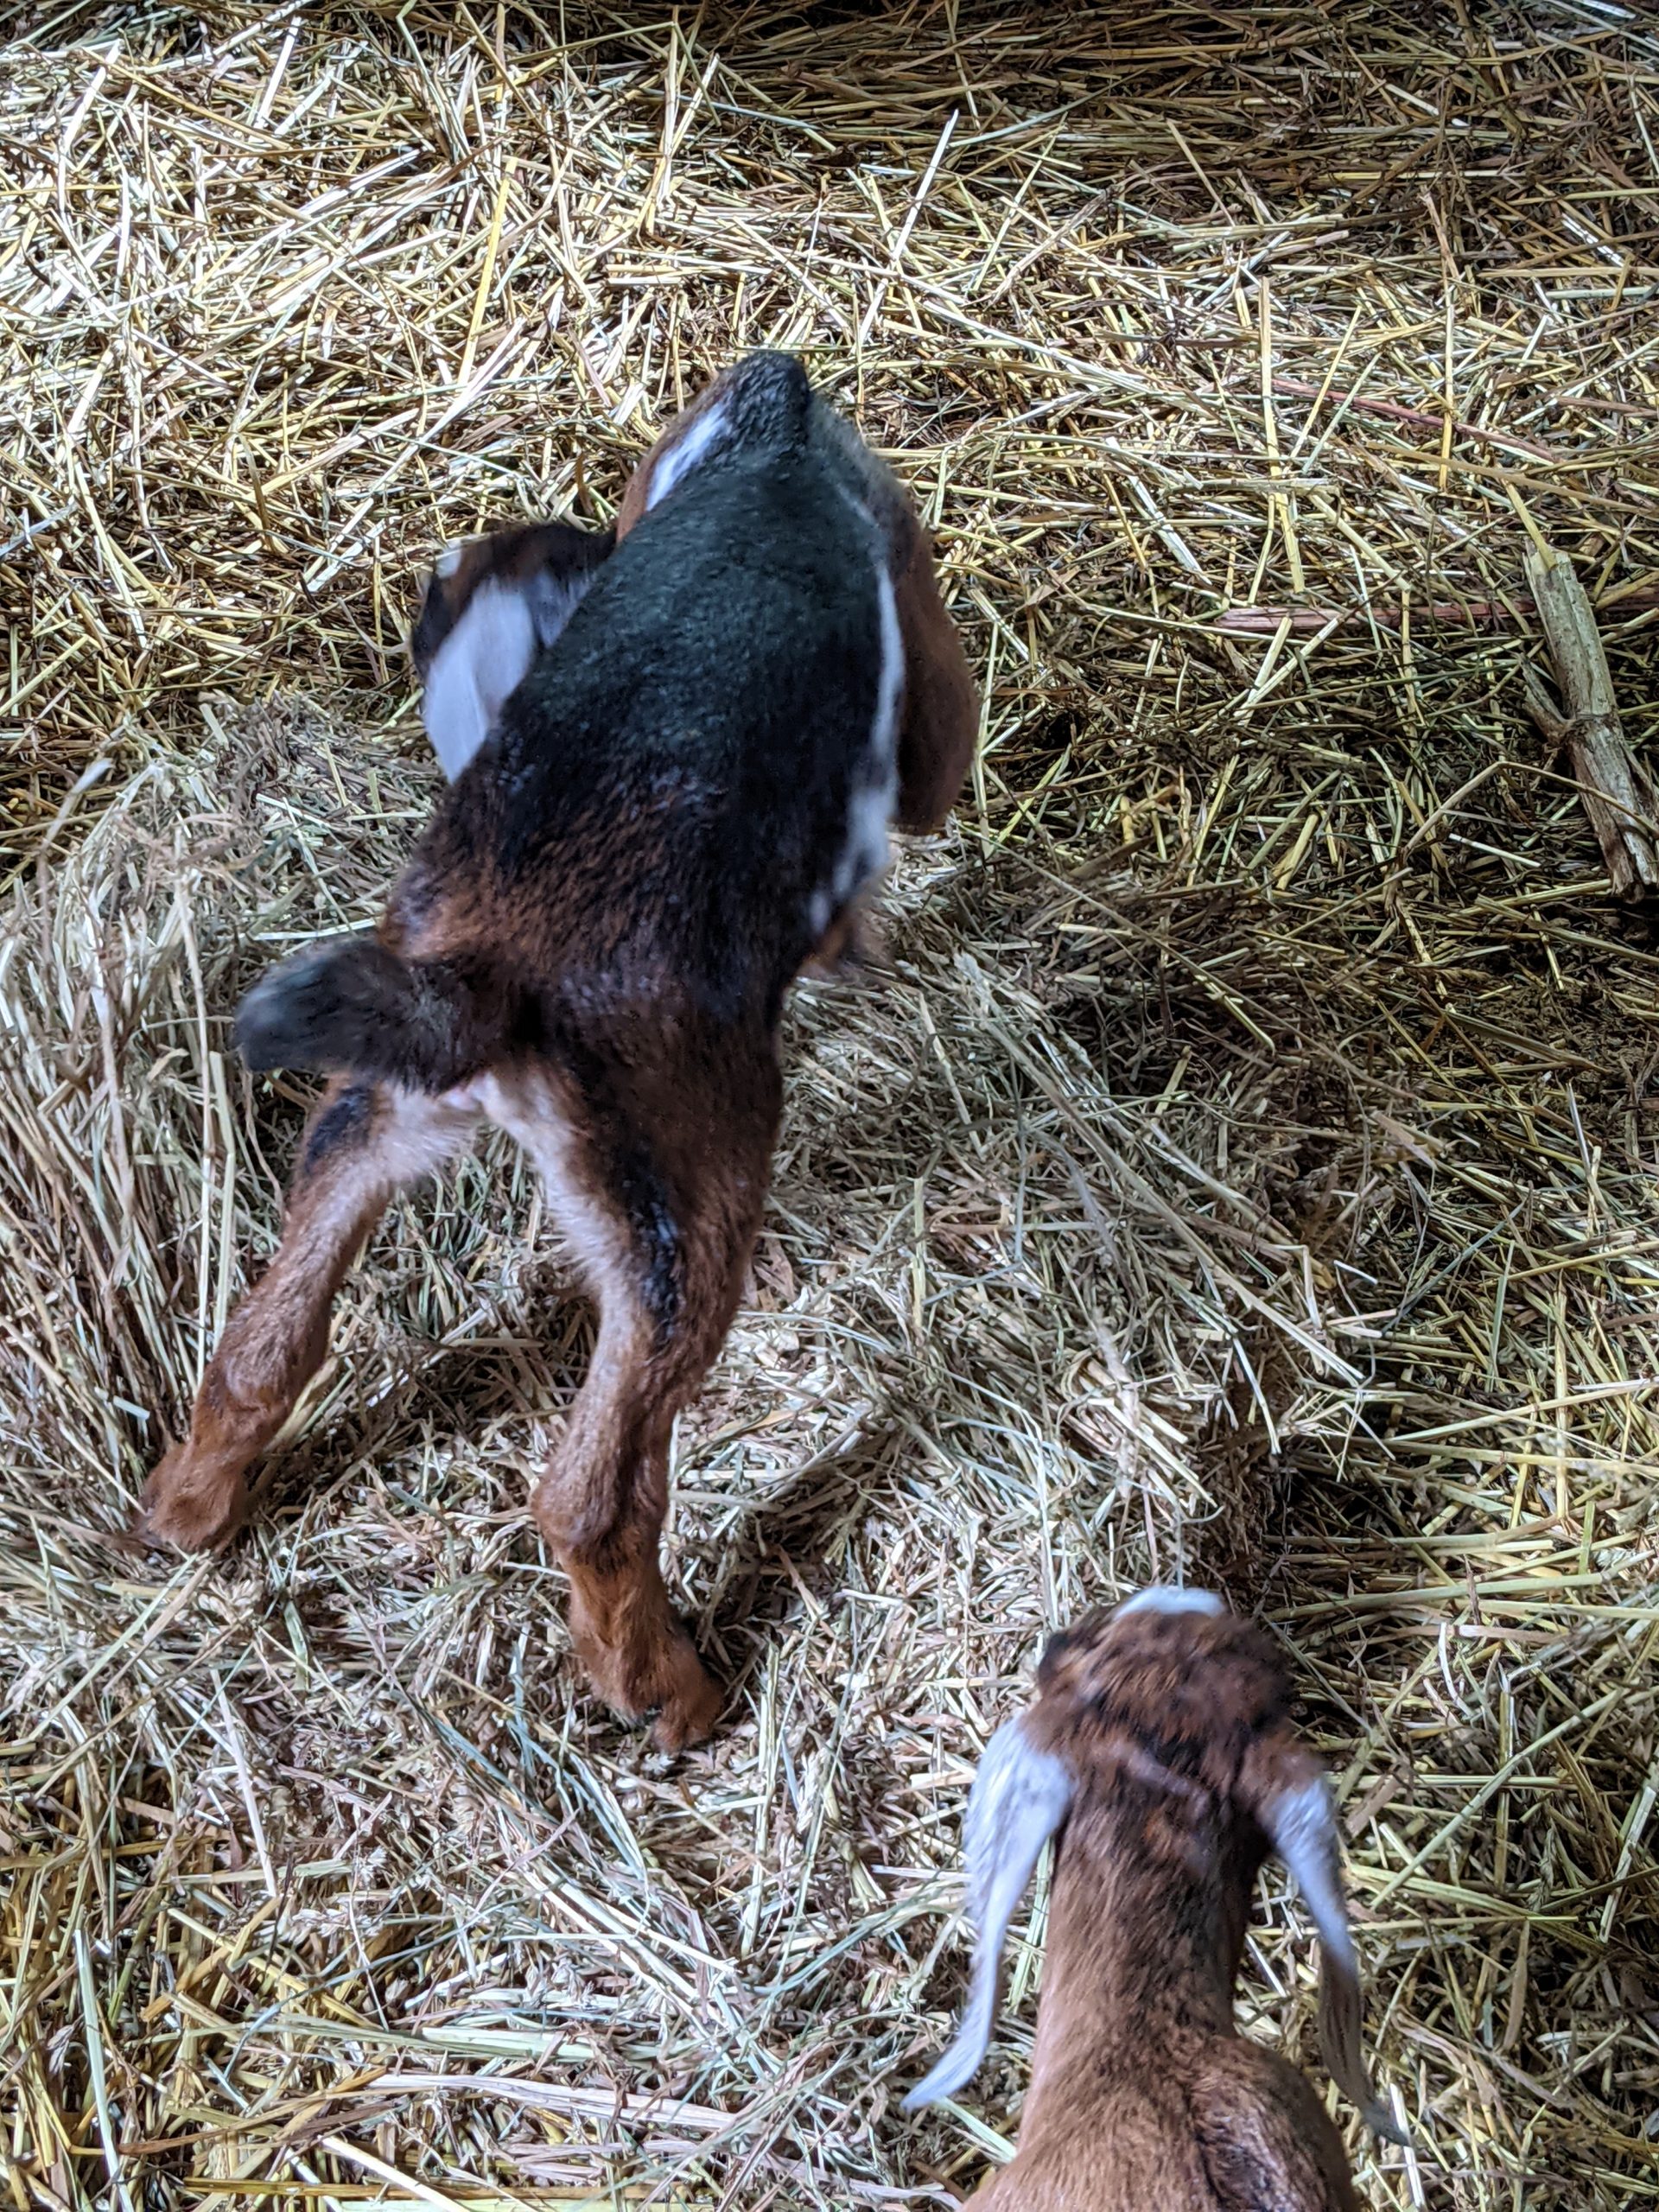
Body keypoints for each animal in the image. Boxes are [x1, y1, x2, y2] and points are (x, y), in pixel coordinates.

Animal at [143, 353, 982, 1751]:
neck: (763, 453)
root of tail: (495, 980)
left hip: (368, 1120)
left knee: (262, 1348)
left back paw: (183, 1510)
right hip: (682, 1235)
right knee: (593, 1494)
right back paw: (670, 1694)